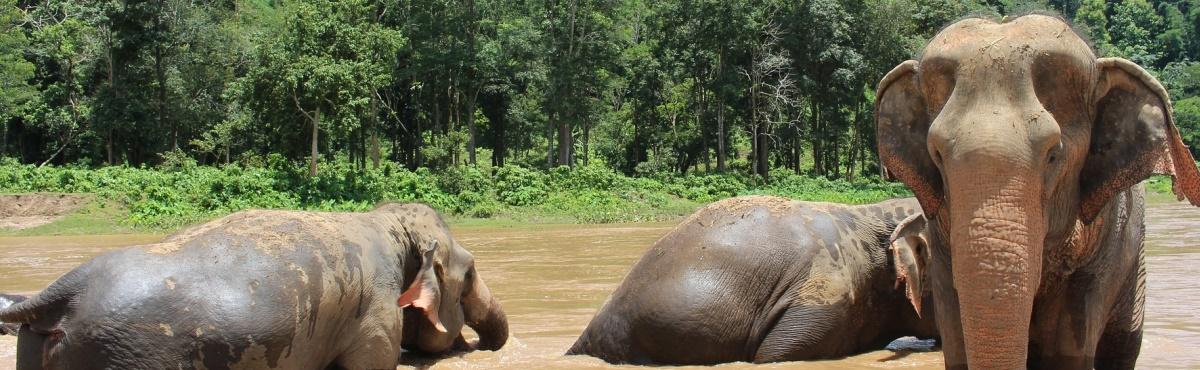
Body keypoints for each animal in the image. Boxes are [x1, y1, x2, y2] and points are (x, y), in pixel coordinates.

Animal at [0, 204, 506, 370]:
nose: (481, 345)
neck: (388, 223)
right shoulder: (374, 313)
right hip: (127, 355)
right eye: (470, 274)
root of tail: (64, 288)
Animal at [873, 14, 1200, 370]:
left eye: (1053, 155)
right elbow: (956, 338)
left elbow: (1069, 347)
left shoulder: (1105, 242)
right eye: (937, 155)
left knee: (1122, 347)